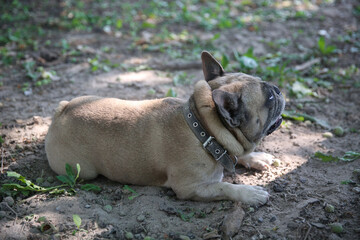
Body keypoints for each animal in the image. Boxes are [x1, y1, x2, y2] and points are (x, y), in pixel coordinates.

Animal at [46, 51, 286, 206]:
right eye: (269, 98)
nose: (278, 89)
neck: (205, 129)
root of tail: (61, 110)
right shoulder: (191, 187)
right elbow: (225, 187)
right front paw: (250, 193)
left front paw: (256, 157)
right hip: (82, 171)